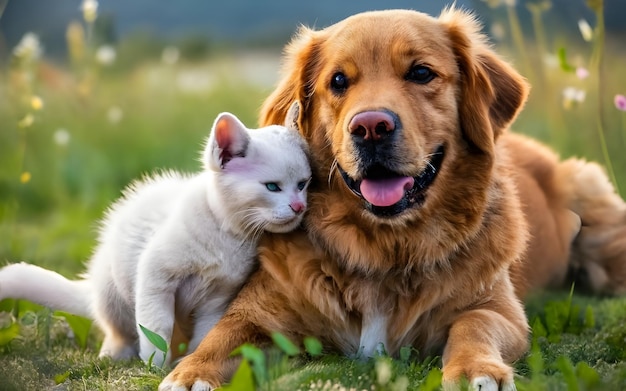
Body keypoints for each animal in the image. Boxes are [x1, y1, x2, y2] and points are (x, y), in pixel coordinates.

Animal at [0, 105, 310, 368]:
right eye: (272, 187)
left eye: (303, 184)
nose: (299, 207)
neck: (227, 235)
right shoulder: (154, 277)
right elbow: (156, 326)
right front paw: (155, 365)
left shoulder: (217, 299)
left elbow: (204, 333)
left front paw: (189, 360)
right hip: (113, 294)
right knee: (118, 330)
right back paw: (116, 352)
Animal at [160, 6, 624, 391]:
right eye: (338, 81)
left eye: (421, 73)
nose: (370, 127)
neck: (385, 247)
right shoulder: (260, 312)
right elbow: (222, 336)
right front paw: (189, 373)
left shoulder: (500, 309)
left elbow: (475, 324)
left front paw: (476, 369)